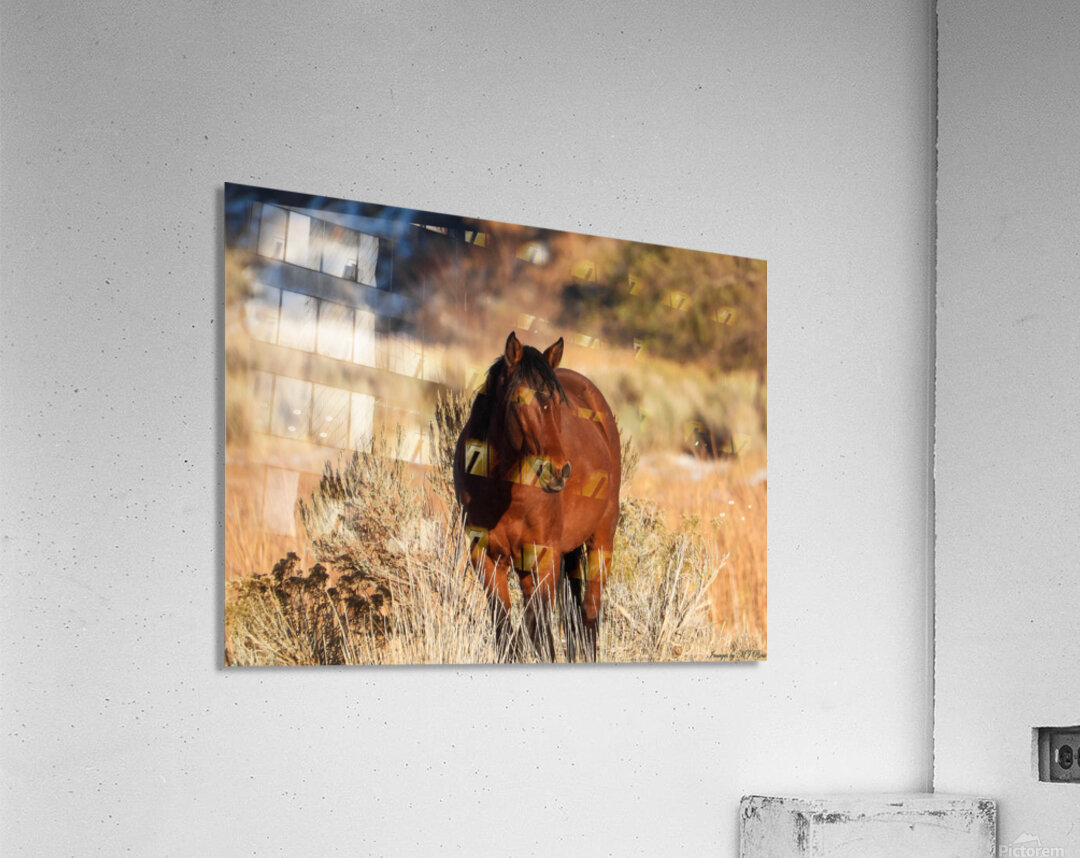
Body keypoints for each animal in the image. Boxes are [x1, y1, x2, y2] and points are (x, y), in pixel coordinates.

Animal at [453, 332, 621, 661]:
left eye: (557, 402)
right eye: (519, 399)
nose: (558, 471)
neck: (499, 491)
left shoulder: (543, 559)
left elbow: (541, 634)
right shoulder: (485, 559)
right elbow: (507, 633)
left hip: (600, 541)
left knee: (589, 615)